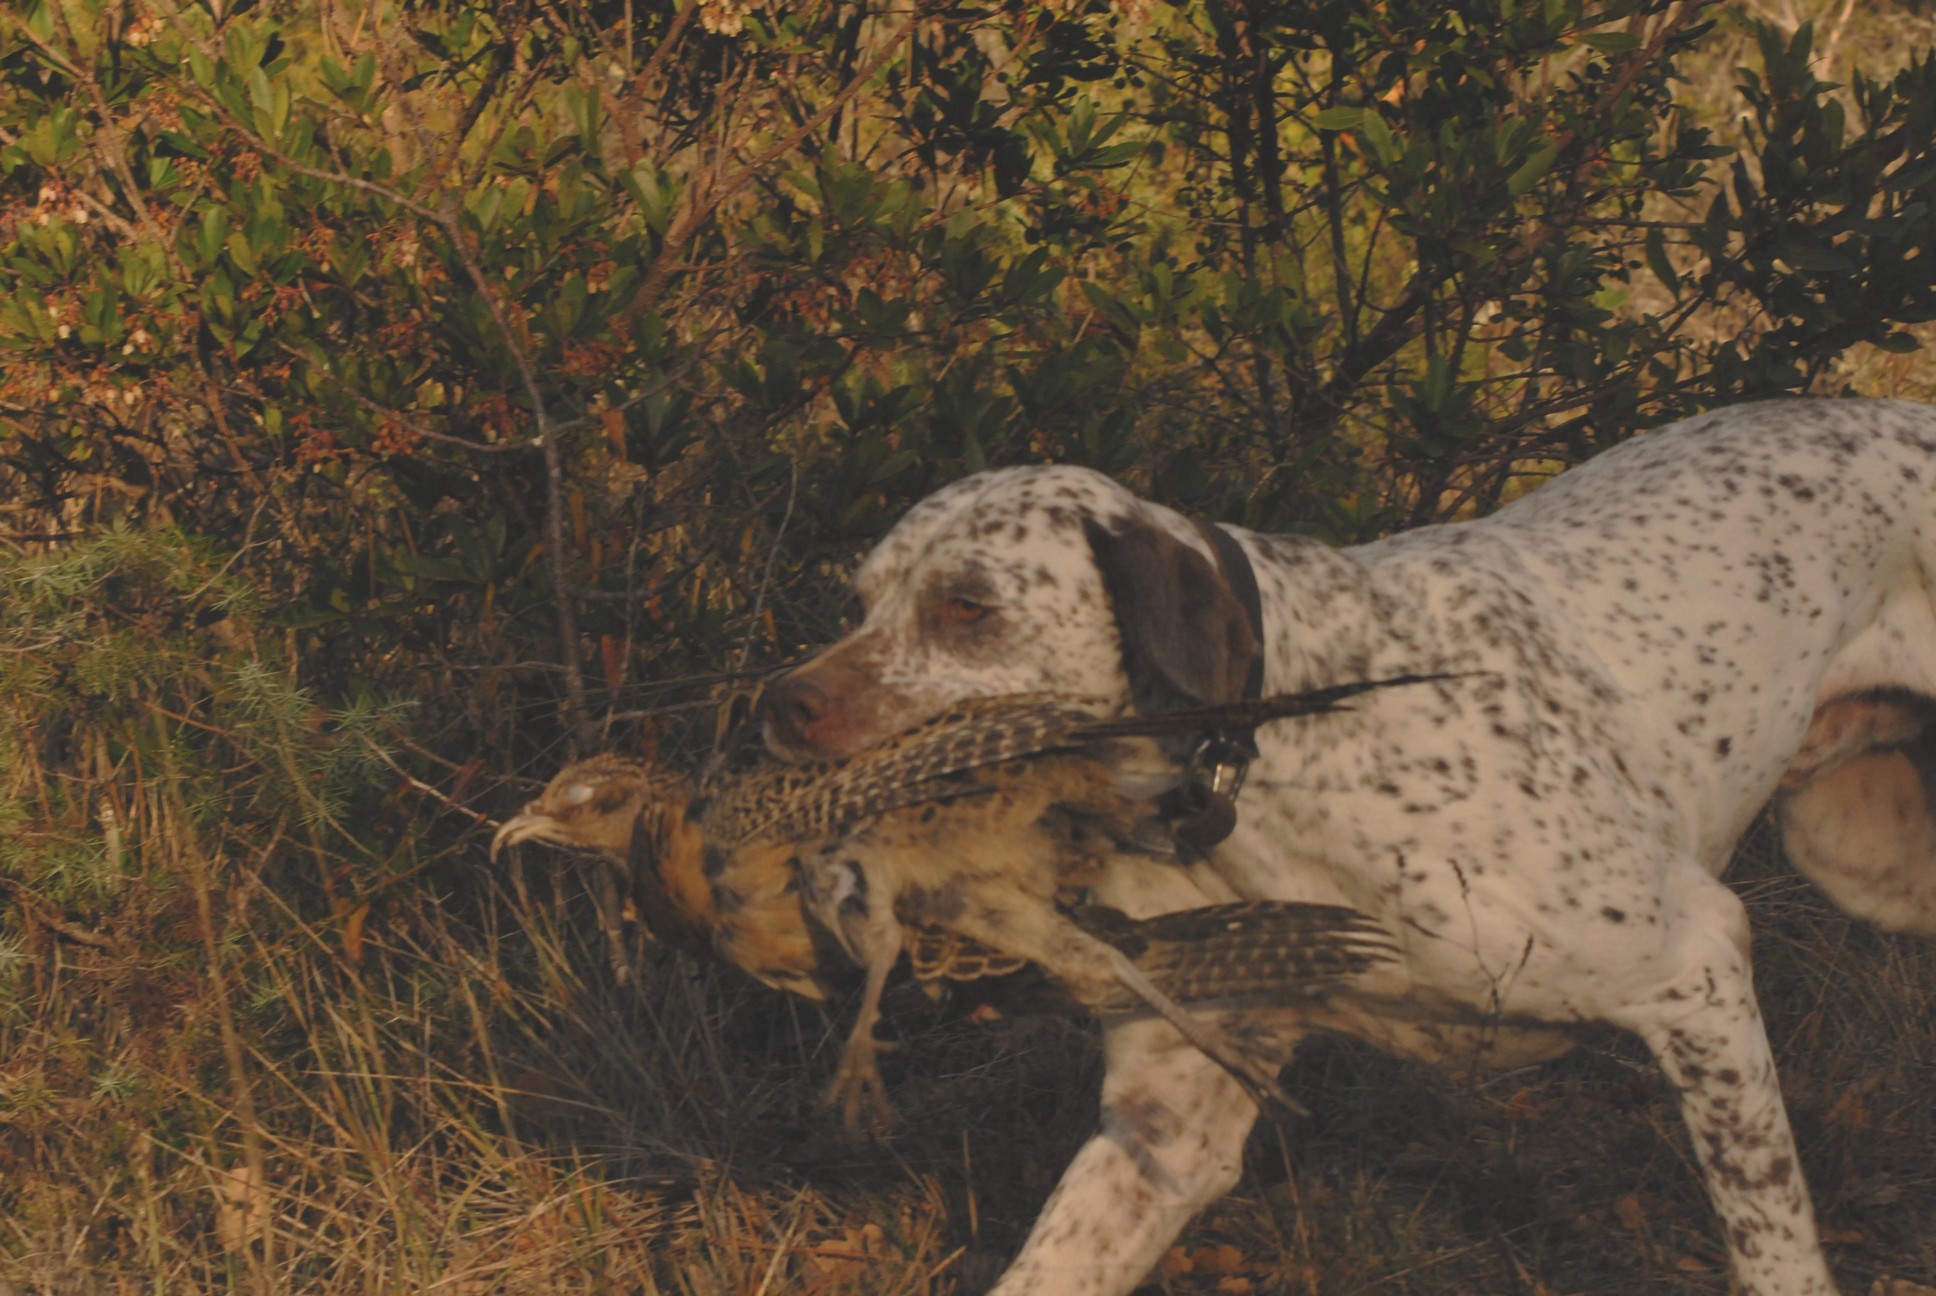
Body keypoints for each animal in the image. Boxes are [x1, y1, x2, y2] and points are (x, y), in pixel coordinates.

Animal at [762, 399, 1936, 1294]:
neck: (1280, 760)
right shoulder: (1168, 1123)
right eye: (861, 599)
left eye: (967, 607)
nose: (780, 706)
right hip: (1863, 857)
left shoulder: (1696, 972)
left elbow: (1772, 1243)